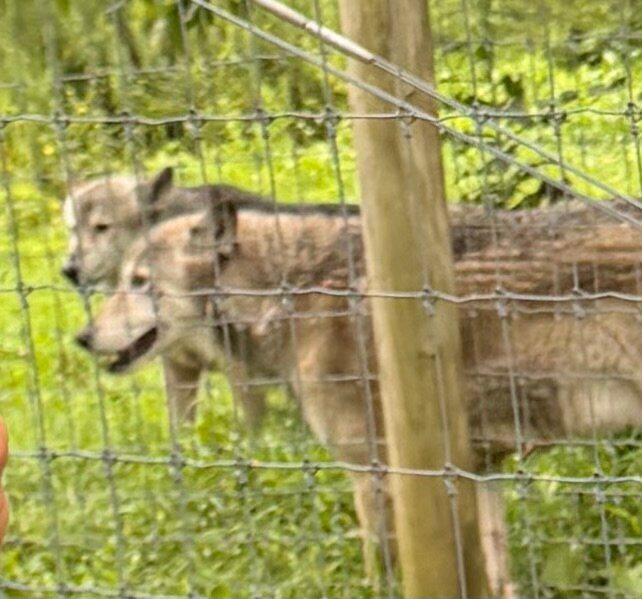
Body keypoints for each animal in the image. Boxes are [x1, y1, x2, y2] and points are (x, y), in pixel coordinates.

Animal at [75, 193, 642, 593]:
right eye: (124, 280)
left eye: (140, 281)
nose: (82, 337)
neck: (294, 296)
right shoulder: (480, 473)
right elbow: (499, 579)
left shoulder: (376, 478)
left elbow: (378, 577)